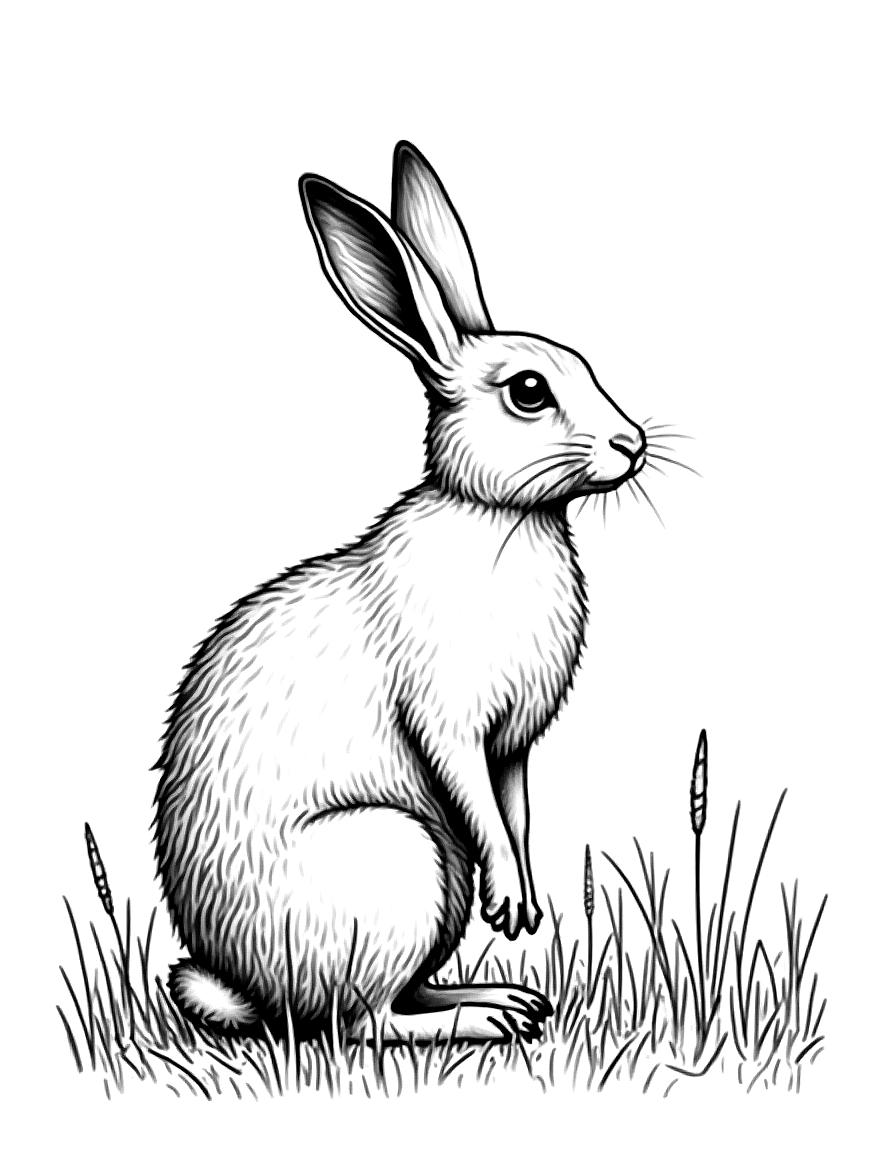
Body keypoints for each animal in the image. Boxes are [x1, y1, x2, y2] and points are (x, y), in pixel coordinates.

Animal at [152, 141, 647, 1044]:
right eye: (529, 391)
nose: (631, 443)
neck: (498, 516)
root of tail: (245, 987)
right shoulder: (449, 717)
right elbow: (477, 798)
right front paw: (514, 902)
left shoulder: (512, 746)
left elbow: (516, 812)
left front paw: (525, 907)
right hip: (400, 858)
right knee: (365, 1020)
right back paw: (492, 1018)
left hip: (432, 883)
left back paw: (506, 997)